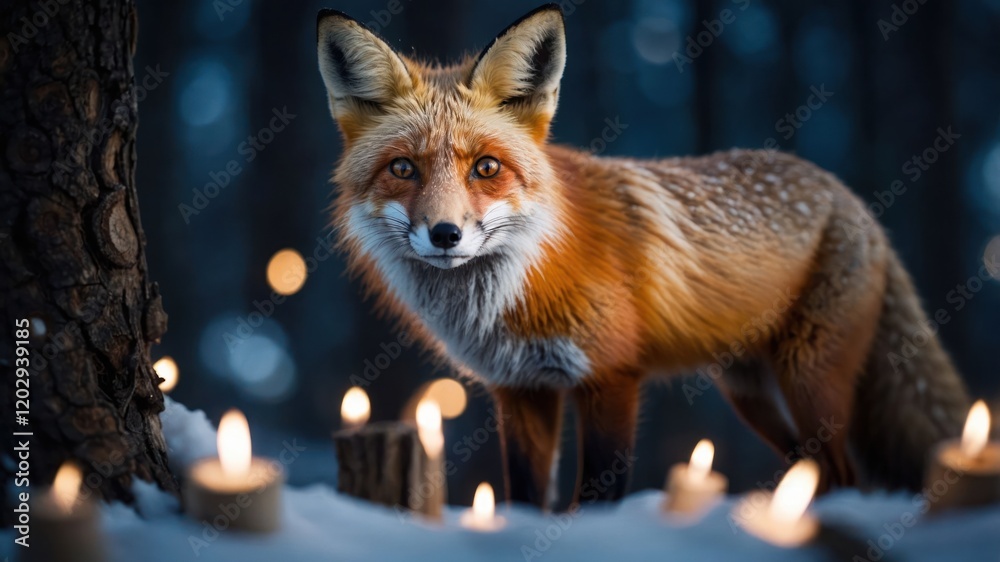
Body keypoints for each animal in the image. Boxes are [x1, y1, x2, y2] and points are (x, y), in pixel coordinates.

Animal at [315, 4, 970, 507]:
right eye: (404, 169)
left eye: (487, 168)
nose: (445, 234)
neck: (520, 288)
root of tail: (850, 197)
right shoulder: (521, 389)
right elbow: (525, 500)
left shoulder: (611, 377)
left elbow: (597, 497)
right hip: (752, 393)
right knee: (824, 474)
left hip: (809, 382)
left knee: (847, 475)